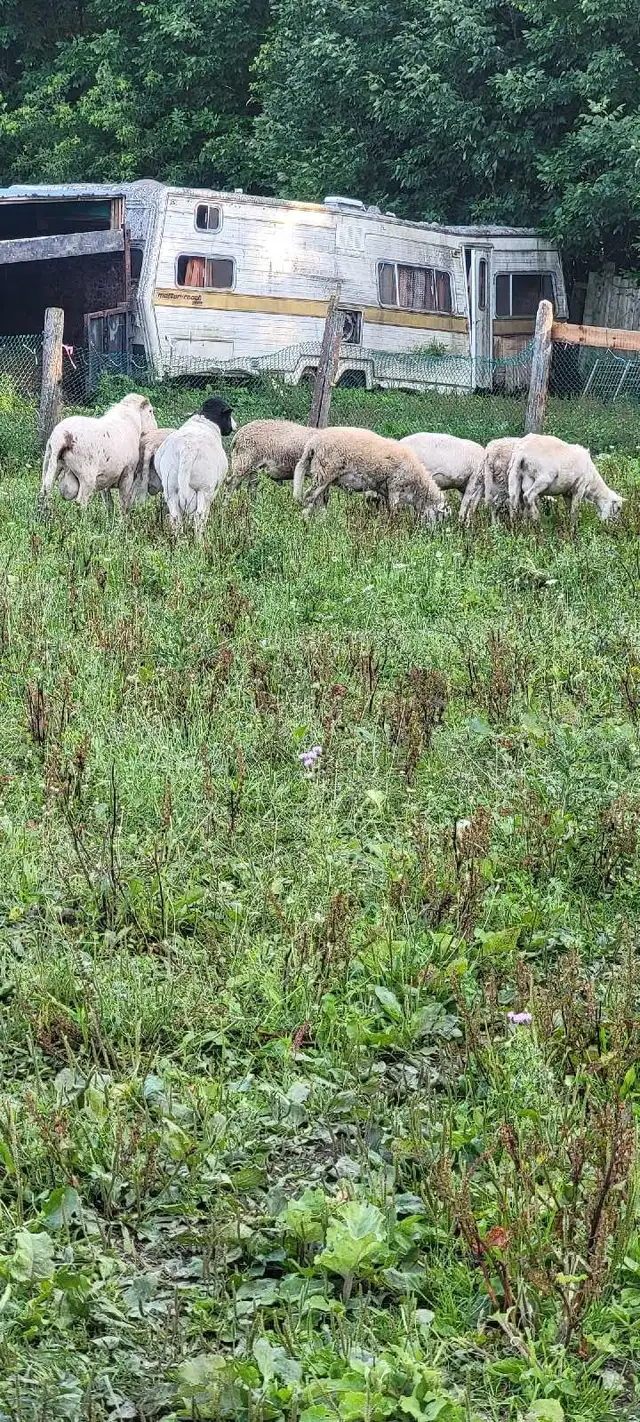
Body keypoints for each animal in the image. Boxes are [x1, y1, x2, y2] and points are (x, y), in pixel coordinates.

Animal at [153, 396, 235, 535]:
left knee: (176, 517)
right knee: (199, 516)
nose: (234, 425)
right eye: (229, 415)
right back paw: (200, 538)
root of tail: (188, 449)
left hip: (170, 489)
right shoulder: (213, 491)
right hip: (204, 489)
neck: (204, 421)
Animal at [292, 427, 449, 523]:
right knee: (309, 497)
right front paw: (393, 526)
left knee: (319, 500)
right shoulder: (395, 487)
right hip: (324, 472)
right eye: (440, 516)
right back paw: (306, 521)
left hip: (324, 476)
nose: (433, 535)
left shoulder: (385, 491)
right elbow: (393, 511)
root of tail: (312, 444)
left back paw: (322, 520)